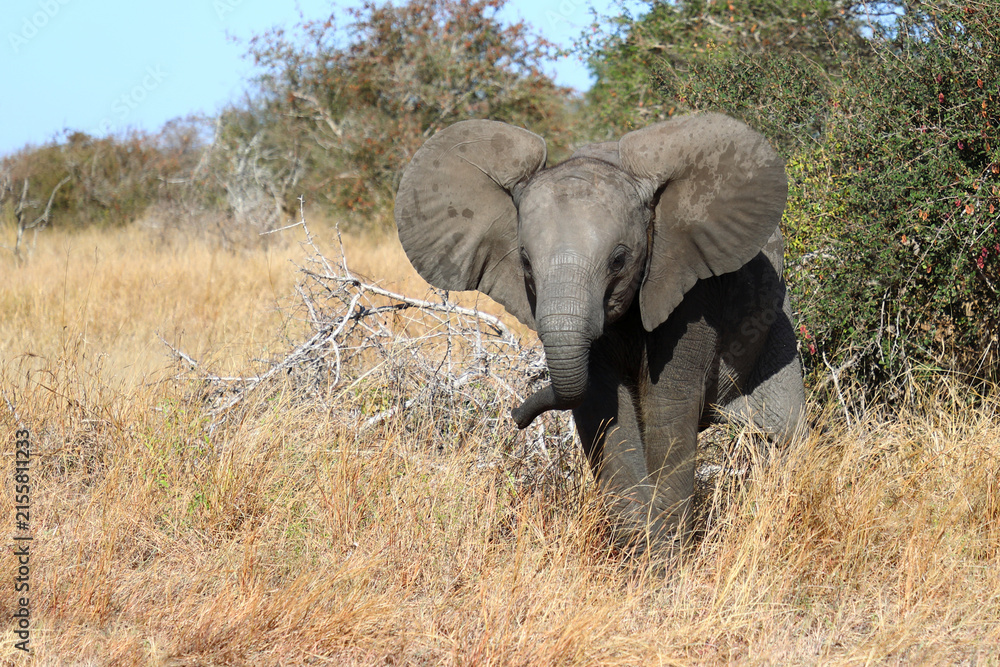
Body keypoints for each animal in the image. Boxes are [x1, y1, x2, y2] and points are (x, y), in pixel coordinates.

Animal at [394, 113, 806, 555]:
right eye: (525, 262)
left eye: (619, 260)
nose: (517, 418)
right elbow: (603, 409)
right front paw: (642, 554)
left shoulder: (692, 290)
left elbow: (669, 408)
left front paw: (664, 563)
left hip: (776, 326)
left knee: (780, 437)